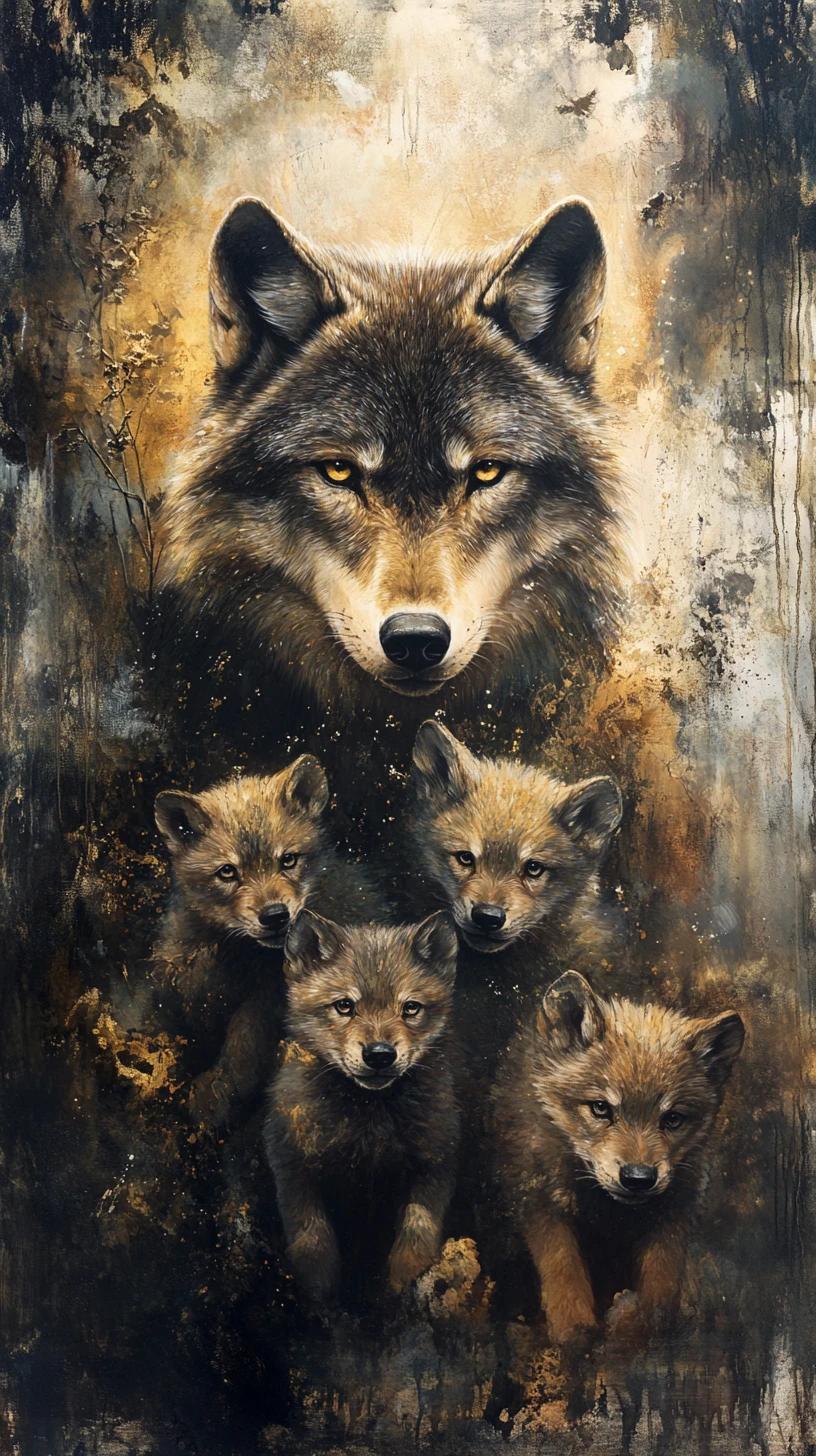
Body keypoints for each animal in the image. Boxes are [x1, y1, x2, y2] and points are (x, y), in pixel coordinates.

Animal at [153, 755, 383, 1128]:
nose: (275, 915)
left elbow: (241, 1051)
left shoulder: (264, 1003)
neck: (234, 956)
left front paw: (212, 1100)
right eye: (228, 872)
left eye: (287, 860)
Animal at [263, 911, 459, 1299]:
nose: (380, 1055)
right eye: (344, 1005)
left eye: (410, 1008)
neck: (369, 1130)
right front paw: (320, 1298)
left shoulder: (435, 1164)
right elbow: (313, 1242)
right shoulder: (292, 1167)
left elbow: (417, 1236)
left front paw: (403, 1287)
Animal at [493, 971, 745, 1345]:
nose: (638, 1178)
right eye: (600, 1108)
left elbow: (660, 1285)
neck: (609, 1214)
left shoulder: (673, 1213)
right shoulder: (541, 1204)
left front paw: (643, 1324)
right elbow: (563, 1271)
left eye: (672, 1118)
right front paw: (574, 1333)